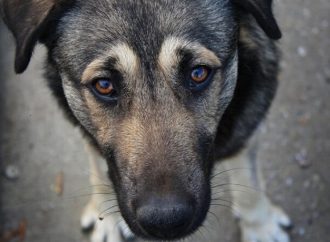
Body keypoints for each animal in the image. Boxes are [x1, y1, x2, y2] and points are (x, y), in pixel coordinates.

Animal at [1, 0, 292, 242]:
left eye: (198, 73)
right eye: (104, 85)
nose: (165, 222)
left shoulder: (247, 123)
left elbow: (249, 186)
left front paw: (261, 227)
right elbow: (100, 169)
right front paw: (107, 218)